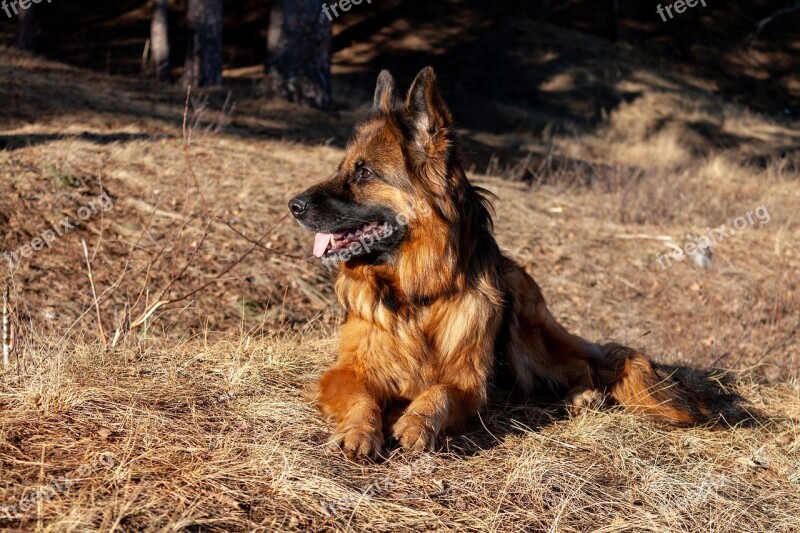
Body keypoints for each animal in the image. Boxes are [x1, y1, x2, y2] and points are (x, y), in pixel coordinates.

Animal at [290, 66, 712, 458]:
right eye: (343, 167)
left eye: (365, 173)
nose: (293, 205)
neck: (416, 293)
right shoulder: (347, 370)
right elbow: (360, 396)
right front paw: (359, 430)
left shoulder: (468, 382)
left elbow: (438, 393)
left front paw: (416, 422)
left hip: (524, 327)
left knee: (583, 367)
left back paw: (583, 396)